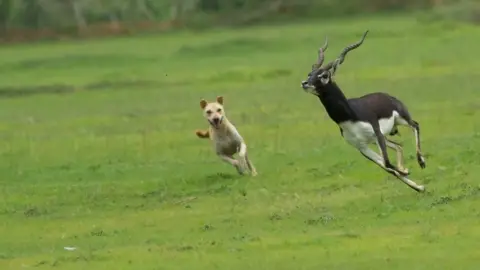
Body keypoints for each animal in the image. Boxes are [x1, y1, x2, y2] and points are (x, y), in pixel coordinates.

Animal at [300, 30, 428, 193]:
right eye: (310, 73)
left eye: (324, 75)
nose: (305, 83)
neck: (349, 116)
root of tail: (386, 95)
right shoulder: (361, 146)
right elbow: (388, 167)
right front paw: (416, 184)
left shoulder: (377, 133)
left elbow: (387, 162)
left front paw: (407, 171)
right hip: (379, 138)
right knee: (399, 145)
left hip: (400, 119)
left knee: (415, 125)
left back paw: (421, 161)